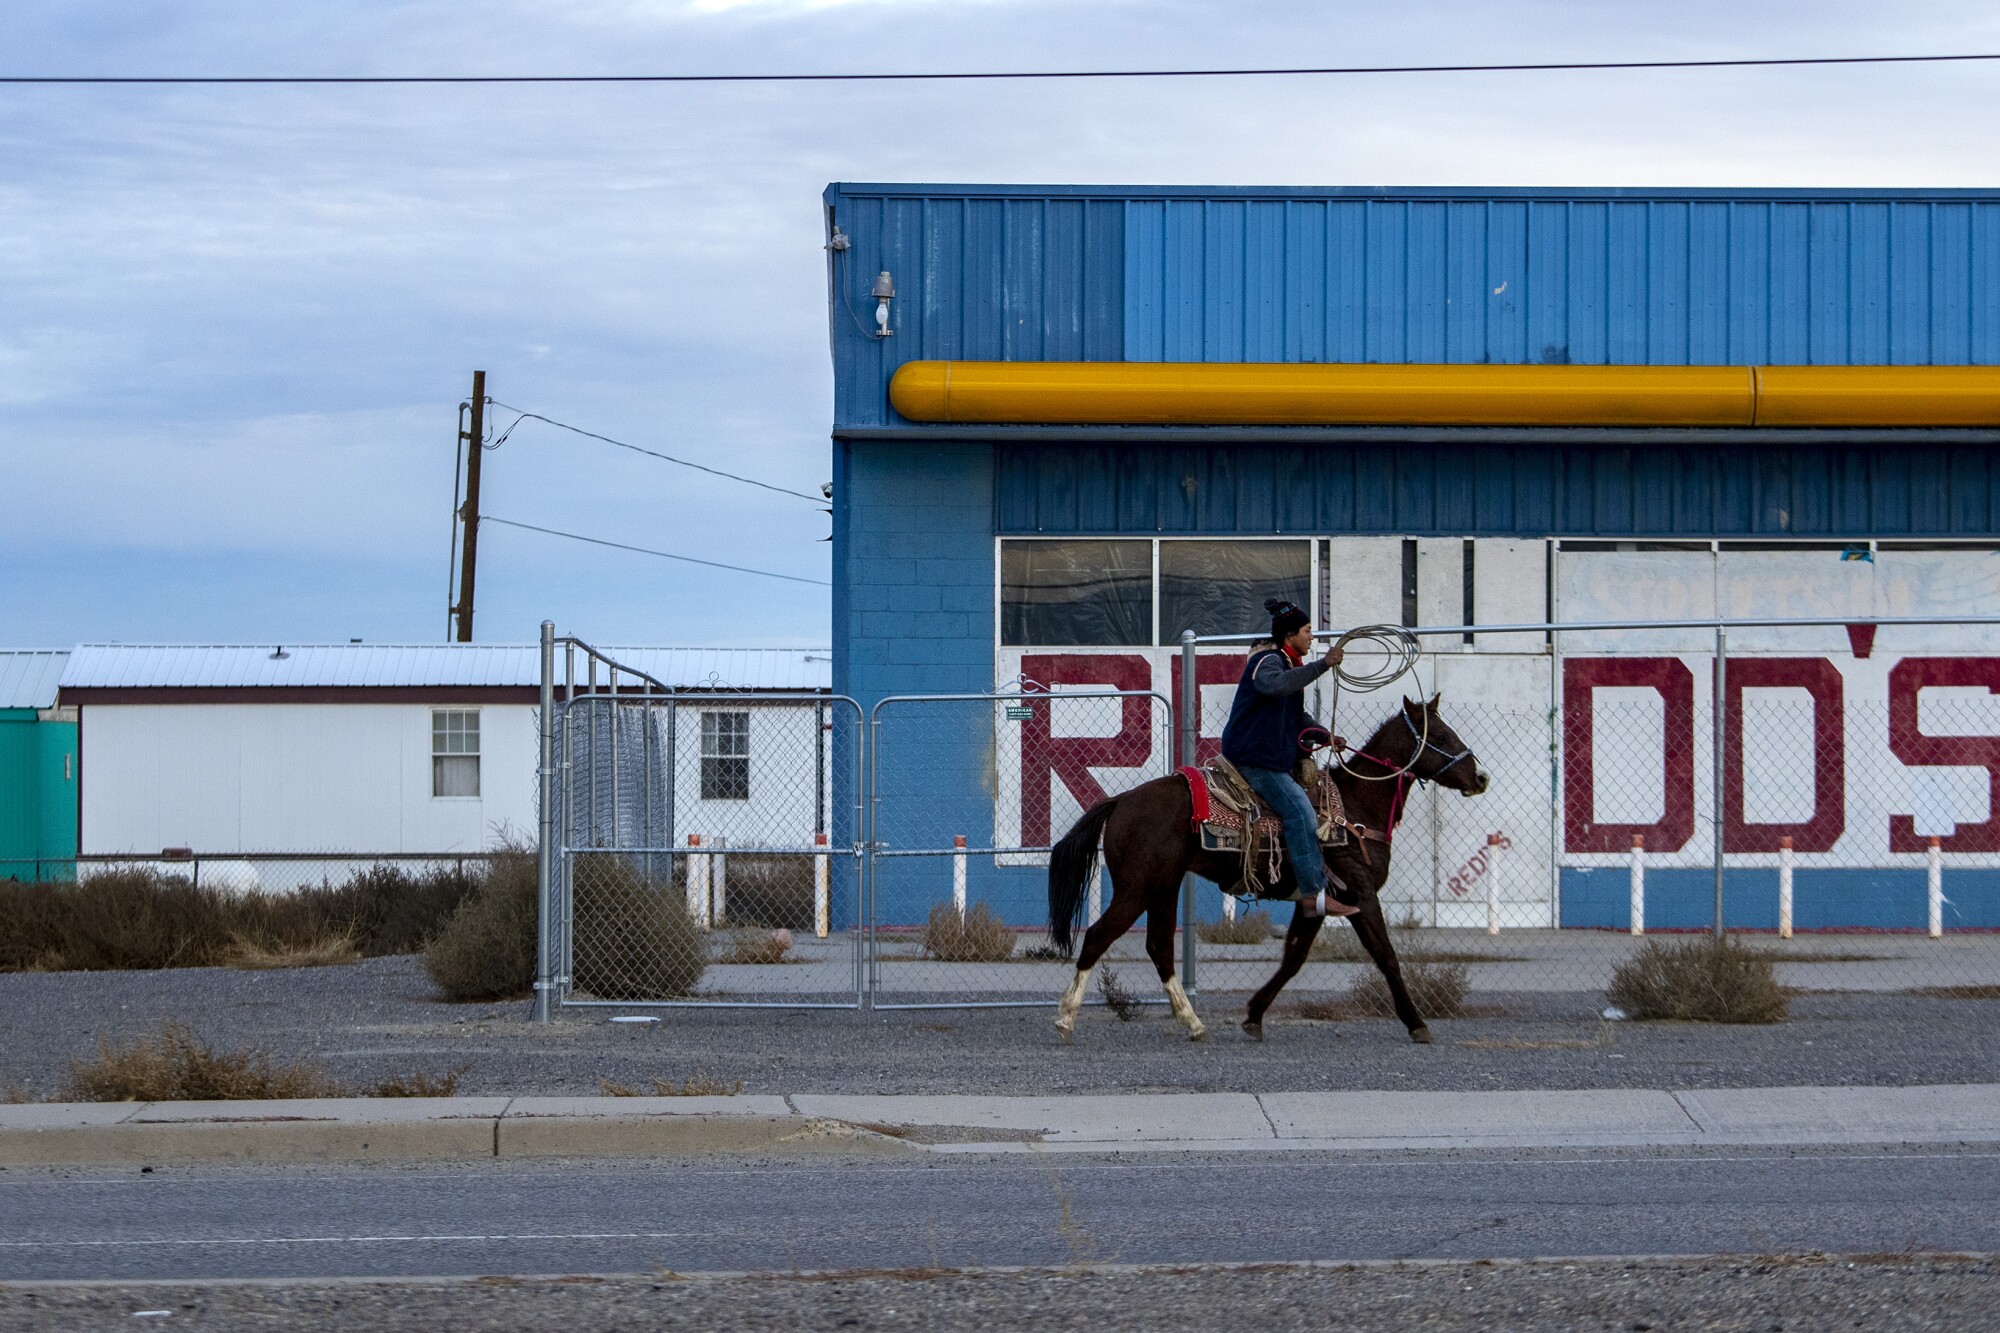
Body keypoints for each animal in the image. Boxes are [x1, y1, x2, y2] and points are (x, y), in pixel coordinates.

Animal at [1048, 688, 1488, 1040]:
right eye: (1441, 736)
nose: (1481, 777)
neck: (1355, 808)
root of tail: (1120, 801)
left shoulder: (1315, 902)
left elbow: (1293, 957)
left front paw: (1254, 1014)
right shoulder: (1360, 894)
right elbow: (1386, 957)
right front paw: (1417, 1023)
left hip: (1163, 888)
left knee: (1159, 947)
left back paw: (1192, 1022)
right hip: (1137, 888)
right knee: (1098, 937)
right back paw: (1066, 1019)